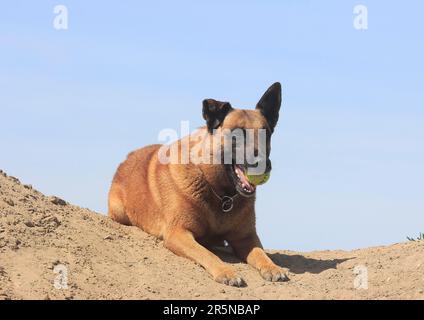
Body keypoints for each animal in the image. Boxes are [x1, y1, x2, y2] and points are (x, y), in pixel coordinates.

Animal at [107, 83, 290, 288]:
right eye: (236, 134)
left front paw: (273, 267)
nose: (264, 165)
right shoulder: (178, 232)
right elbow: (207, 254)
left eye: (267, 134)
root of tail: (126, 159)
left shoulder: (246, 237)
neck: (221, 193)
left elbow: (261, 254)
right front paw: (225, 271)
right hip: (119, 212)